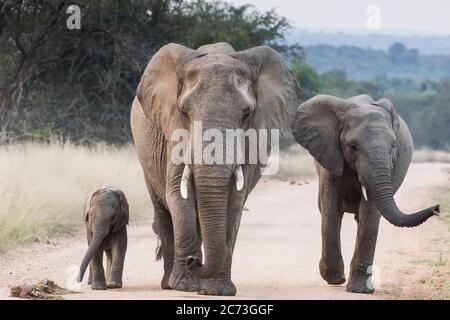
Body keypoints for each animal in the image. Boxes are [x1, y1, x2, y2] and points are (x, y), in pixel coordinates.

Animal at [130, 42, 300, 296]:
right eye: (184, 112)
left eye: (246, 114)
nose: (193, 261)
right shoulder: (174, 135)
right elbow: (179, 195)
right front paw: (185, 286)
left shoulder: (250, 143)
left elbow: (234, 202)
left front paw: (218, 291)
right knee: (163, 213)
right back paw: (169, 283)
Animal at [290, 94, 438, 294]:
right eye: (353, 147)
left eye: (393, 146)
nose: (438, 208)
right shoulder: (330, 155)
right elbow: (331, 210)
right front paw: (334, 279)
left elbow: (369, 214)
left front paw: (359, 290)